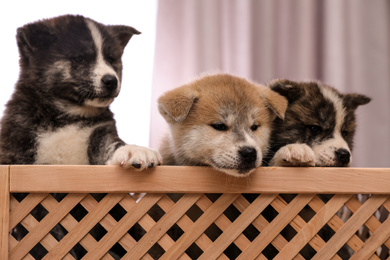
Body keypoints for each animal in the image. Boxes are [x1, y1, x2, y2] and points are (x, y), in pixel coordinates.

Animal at [0, 14, 161, 169]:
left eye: (111, 59)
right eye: (80, 58)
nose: (111, 81)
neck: (69, 114)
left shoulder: (101, 131)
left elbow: (112, 145)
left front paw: (134, 150)